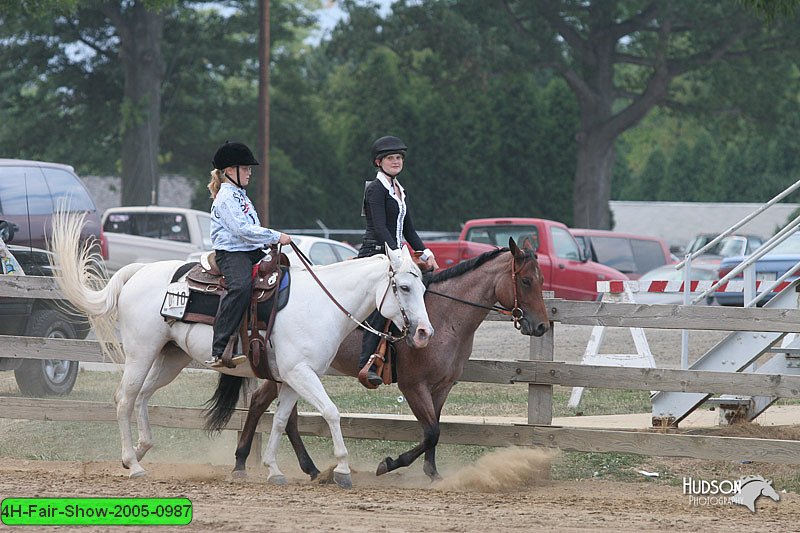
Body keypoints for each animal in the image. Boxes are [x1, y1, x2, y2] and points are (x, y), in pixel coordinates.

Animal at [51, 211, 432, 486]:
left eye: (423, 286)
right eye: (403, 287)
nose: (425, 332)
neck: (321, 304)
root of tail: (139, 272)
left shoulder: (292, 379)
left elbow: (280, 421)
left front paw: (274, 470)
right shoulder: (301, 373)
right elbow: (331, 412)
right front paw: (341, 470)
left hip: (171, 357)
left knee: (143, 395)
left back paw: (143, 449)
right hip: (141, 352)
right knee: (125, 399)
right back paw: (133, 464)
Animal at [203, 237, 548, 478]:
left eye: (542, 280)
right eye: (526, 280)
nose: (542, 325)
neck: (446, 315)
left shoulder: (441, 387)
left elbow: (435, 430)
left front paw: (432, 473)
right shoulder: (413, 386)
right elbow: (431, 432)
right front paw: (389, 464)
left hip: (288, 372)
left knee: (267, 406)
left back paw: (271, 464)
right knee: (273, 410)